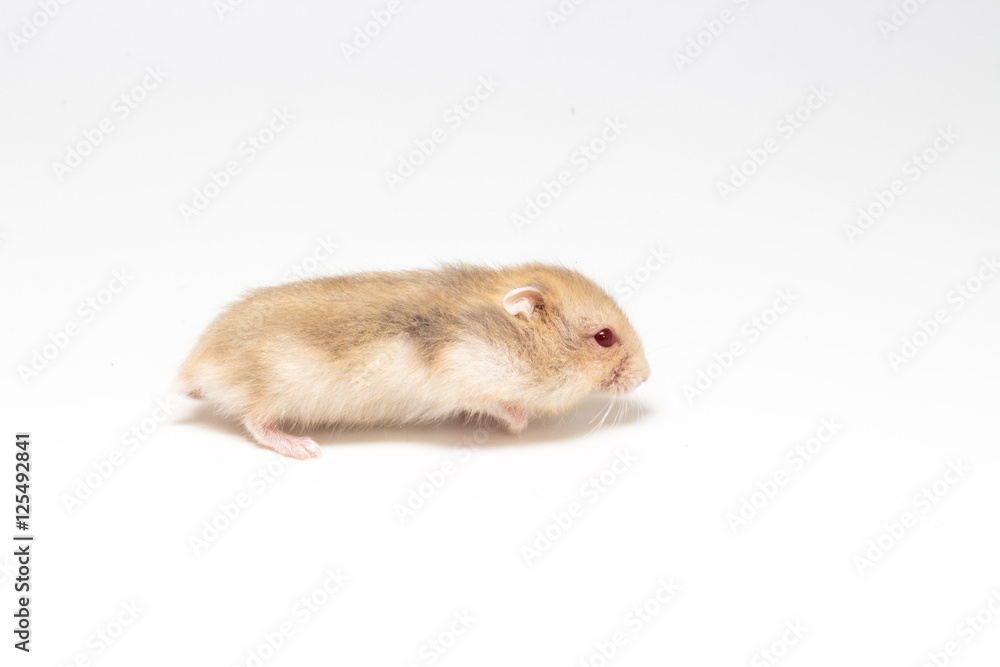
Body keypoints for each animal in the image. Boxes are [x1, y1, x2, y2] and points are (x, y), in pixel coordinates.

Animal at [178, 263, 650, 459]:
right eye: (604, 337)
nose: (647, 376)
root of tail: (194, 366)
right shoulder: (468, 377)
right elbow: (502, 407)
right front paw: (519, 424)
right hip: (276, 391)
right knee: (255, 422)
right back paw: (305, 448)